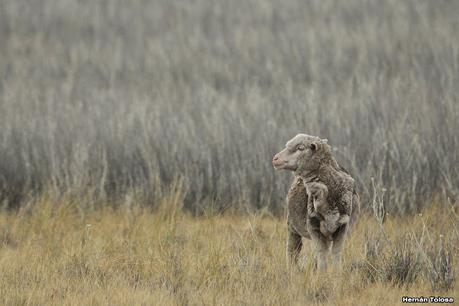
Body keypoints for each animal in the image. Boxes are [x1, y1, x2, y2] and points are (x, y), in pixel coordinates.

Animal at [272, 134, 362, 270]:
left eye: (300, 147)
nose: (275, 159)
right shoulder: (313, 226)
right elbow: (322, 254)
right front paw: (322, 273)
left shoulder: (343, 226)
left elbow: (336, 253)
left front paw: (336, 273)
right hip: (292, 225)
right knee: (293, 250)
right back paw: (291, 269)